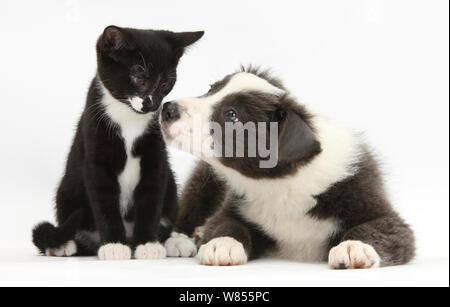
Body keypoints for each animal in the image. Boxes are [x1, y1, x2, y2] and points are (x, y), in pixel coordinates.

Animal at [32, 25, 205, 260]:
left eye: (165, 84)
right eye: (138, 79)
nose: (151, 104)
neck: (128, 117)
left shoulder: (155, 159)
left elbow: (150, 200)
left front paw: (147, 243)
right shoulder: (95, 157)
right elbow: (104, 201)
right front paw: (114, 245)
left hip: (170, 184)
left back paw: (174, 241)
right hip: (67, 189)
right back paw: (63, 245)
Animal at [161, 68, 414, 270]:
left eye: (231, 115)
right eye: (211, 89)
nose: (167, 109)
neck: (281, 183)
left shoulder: (374, 203)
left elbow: (382, 228)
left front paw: (354, 246)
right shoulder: (233, 204)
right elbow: (224, 223)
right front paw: (221, 243)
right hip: (203, 181)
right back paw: (181, 240)